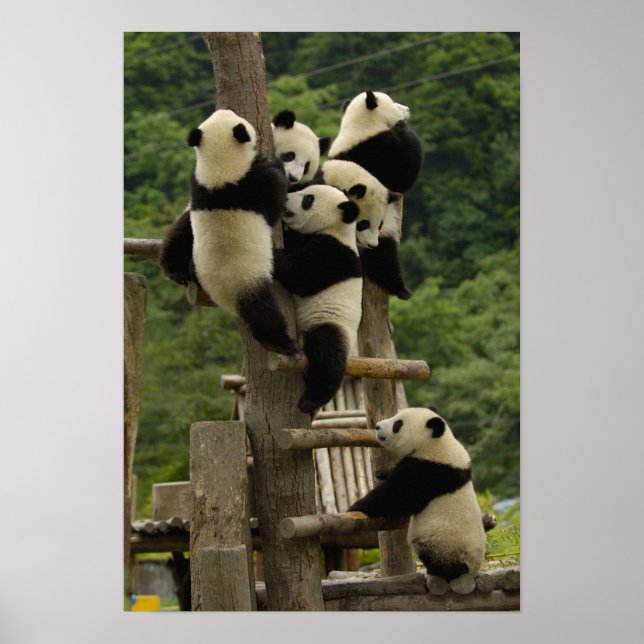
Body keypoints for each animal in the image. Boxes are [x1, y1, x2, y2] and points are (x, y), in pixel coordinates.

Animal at [159, 109, 298, 356]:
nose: (226, 109)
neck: (219, 169)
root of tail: (217, 295)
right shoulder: (253, 184)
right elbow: (273, 203)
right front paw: (276, 164)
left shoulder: (197, 183)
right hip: (246, 280)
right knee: (262, 312)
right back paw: (283, 344)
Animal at [273, 184, 363, 414]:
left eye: (308, 199)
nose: (285, 198)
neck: (336, 228)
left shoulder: (334, 254)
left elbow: (300, 276)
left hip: (330, 323)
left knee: (328, 356)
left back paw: (311, 401)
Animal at [349, 407, 487, 581]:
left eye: (398, 424)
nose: (378, 426)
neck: (436, 443)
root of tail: (473, 571)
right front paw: (382, 473)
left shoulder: (428, 471)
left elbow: (396, 496)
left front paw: (355, 507)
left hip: (445, 543)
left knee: (438, 556)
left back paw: (437, 571)